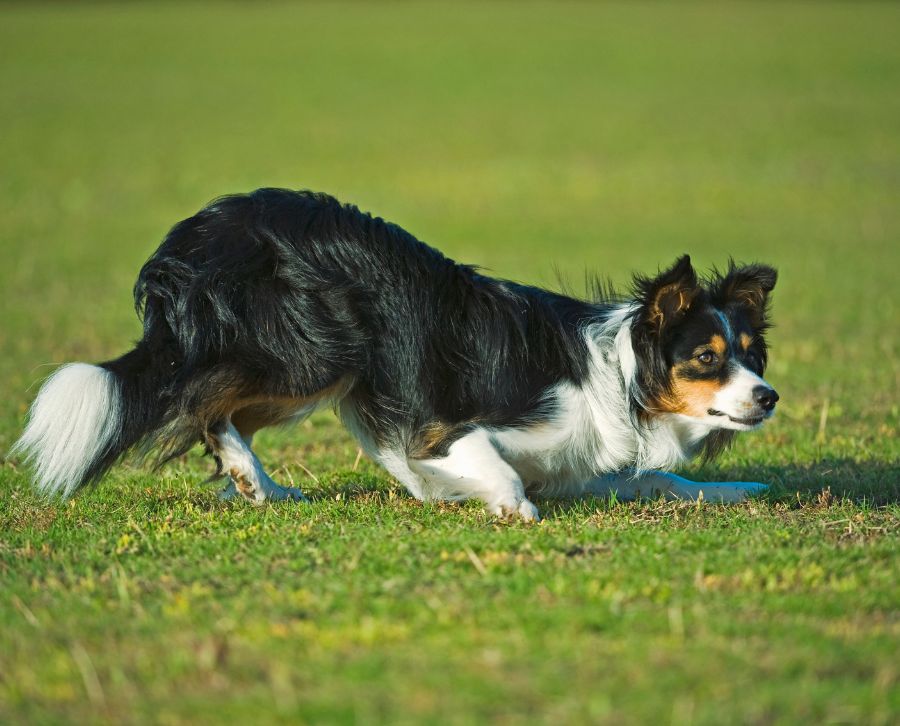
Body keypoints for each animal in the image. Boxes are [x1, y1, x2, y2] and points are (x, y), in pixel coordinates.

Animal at [10, 188, 776, 516]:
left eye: (752, 357)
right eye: (706, 358)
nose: (768, 398)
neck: (623, 375)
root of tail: (200, 231)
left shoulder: (580, 464)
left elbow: (664, 479)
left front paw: (739, 490)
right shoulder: (443, 427)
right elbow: (494, 465)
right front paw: (509, 509)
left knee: (221, 411)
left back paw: (263, 486)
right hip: (317, 353)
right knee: (201, 401)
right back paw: (251, 477)